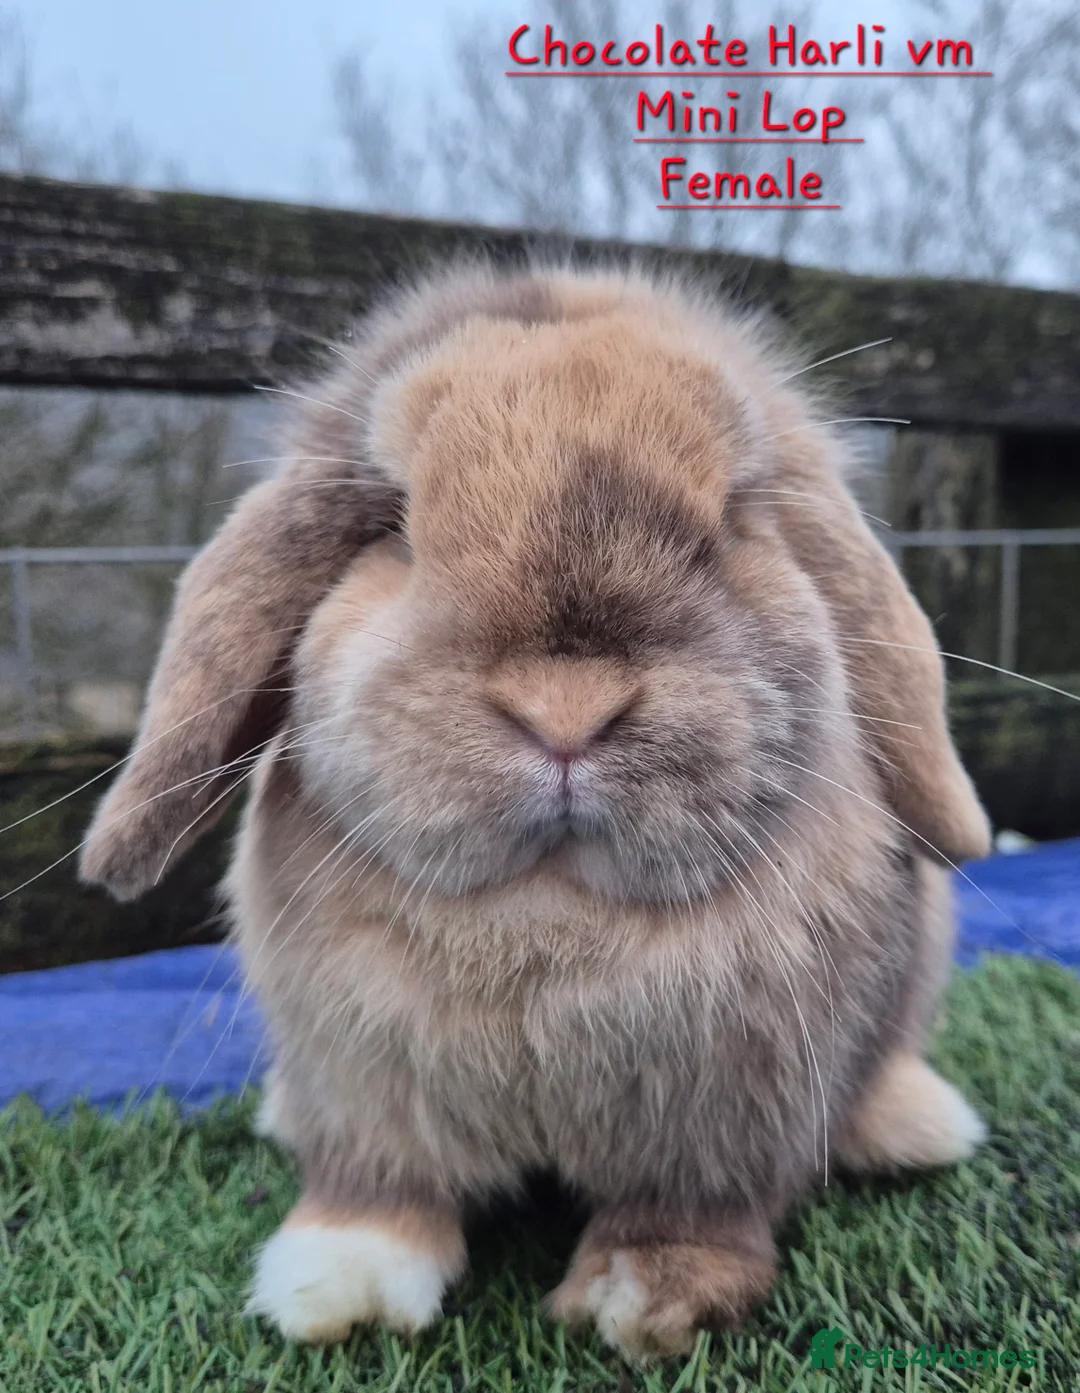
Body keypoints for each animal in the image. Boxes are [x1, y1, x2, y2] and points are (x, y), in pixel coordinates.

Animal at [80, 260, 991, 1361]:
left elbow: (691, 1211)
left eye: (732, 518)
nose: (565, 712)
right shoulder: (368, 1086)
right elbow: (381, 1186)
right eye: (392, 527)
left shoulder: (724, 1122)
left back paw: (917, 1125)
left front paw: (640, 1298)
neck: (545, 916)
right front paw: (339, 1286)